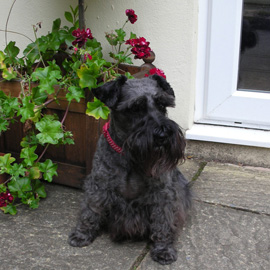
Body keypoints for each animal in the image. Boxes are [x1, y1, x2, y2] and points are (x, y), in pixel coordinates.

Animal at [69, 75, 192, 264]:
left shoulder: (163, 192)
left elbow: (163, 219)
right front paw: (82, 234)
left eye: (162, 105)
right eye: (135, 108)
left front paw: (163, 248)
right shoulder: (98, 186)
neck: (129, 156)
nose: (163, 135)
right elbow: (91, 210)